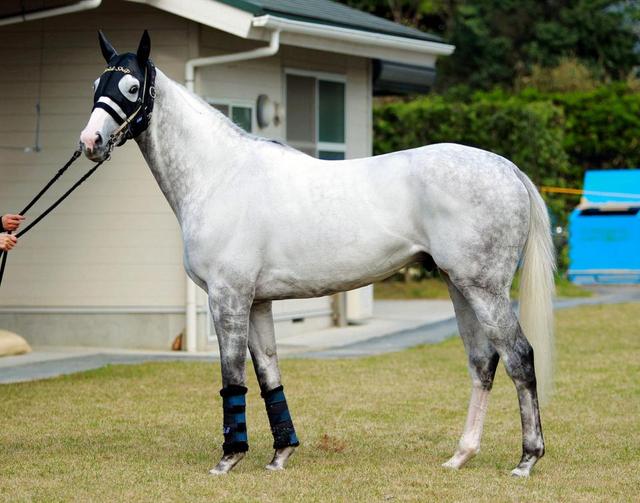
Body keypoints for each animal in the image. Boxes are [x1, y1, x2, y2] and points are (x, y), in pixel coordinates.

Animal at [79, 31, 555, 477]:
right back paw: (461, 455)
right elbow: (268, 374)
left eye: (132, 87)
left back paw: (527, 459)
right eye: (97, 83)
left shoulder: (228, 297)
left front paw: (229, 458)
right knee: (483, 363)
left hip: (484, 289)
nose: (90, 141)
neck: (220, 175)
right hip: (459, 285)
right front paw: (280, 454)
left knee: (519, 357)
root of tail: (507, 168)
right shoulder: (258, 302)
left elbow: (233, 376)